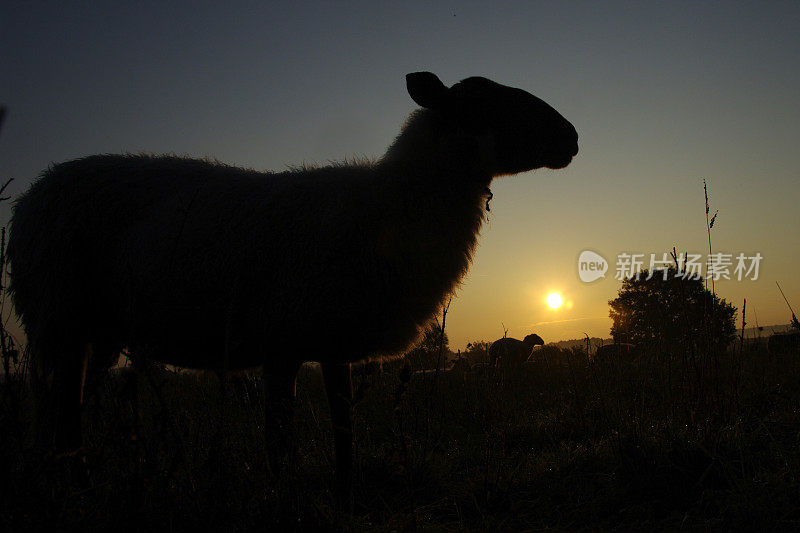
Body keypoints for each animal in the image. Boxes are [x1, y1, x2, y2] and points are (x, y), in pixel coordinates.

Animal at [9, 70, 580, 498]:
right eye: (484, 101)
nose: (573, 136)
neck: (388, 207)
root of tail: (36, 189)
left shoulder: (333, 342)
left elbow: (344, 429)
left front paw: (346, 493)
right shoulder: (281, 343)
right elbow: (279, 442)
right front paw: (286, 496)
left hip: (95, 333)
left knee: (67, 412)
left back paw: (73, 481)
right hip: (59, 319)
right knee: (64, 414)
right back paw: (76, 486)